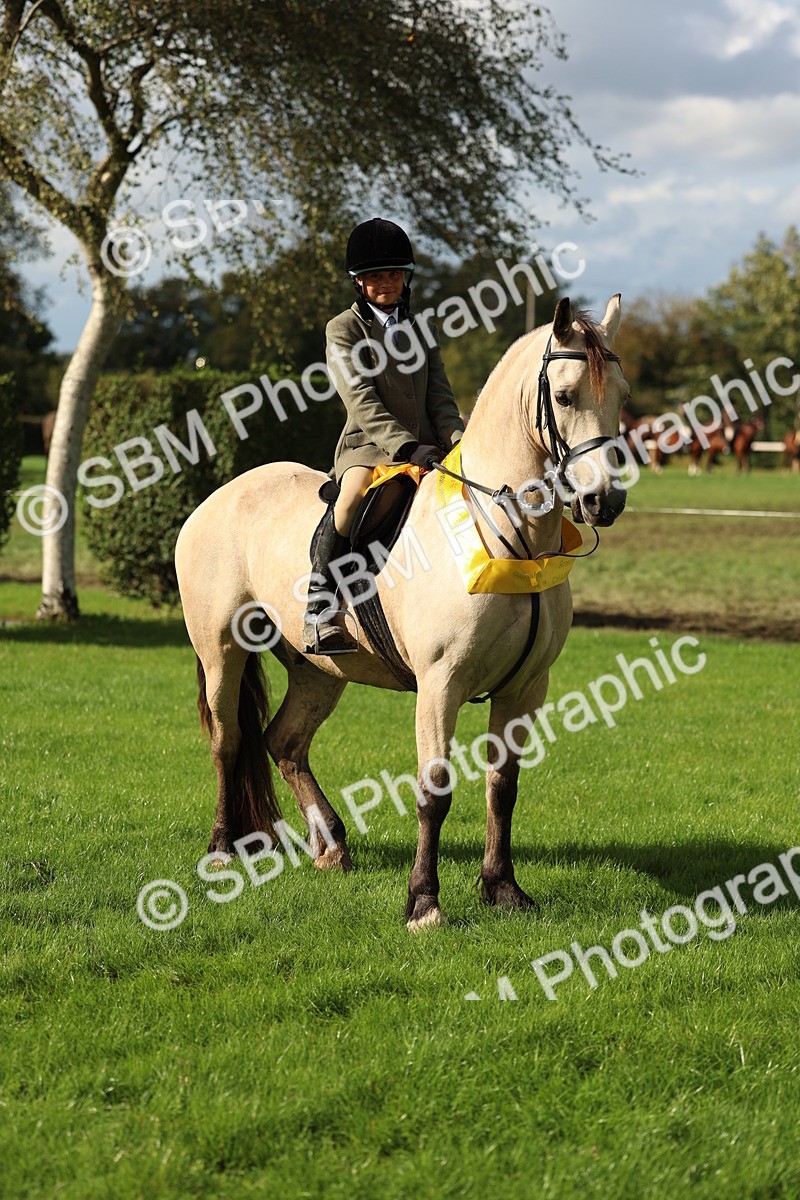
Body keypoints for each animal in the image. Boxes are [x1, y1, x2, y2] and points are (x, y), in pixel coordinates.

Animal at [174, 296, 630, 930]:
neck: (506, 536)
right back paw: (221, 850)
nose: (604, 501)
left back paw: (331, 846)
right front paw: (424, 902)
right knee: (228, 740)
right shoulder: (441, 684)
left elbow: (503, 786)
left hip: (320, 671)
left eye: (622, 395)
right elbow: (434, 791)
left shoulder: (525, 687)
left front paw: (503, 888)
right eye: (563, 396)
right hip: (221, 650)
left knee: (284, 742)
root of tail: (218, 497)